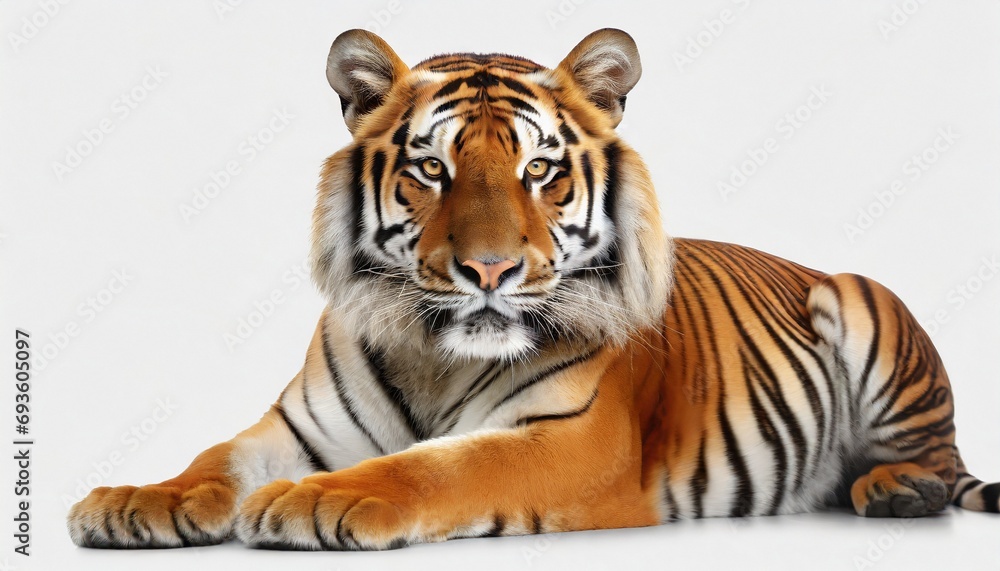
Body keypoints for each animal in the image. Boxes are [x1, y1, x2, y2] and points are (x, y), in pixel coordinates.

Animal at [67, 28, 998, 550]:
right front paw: (131, 500)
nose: (489, 270)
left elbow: (442, 465)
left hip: (862, 305)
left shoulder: (571, 437)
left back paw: (896, 489)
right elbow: (213, 457)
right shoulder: (294, 425)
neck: (435, 356)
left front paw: (321, 498)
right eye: (431, 170)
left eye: (540, 170)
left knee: (940, 461)